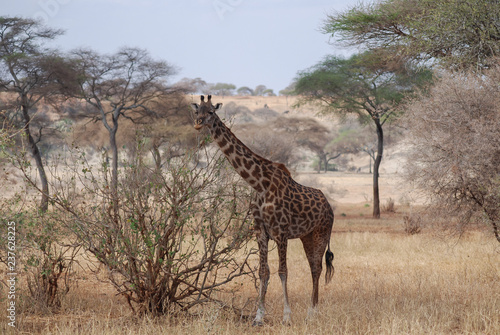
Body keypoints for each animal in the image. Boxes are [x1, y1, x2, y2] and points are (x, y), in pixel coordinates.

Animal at [192, 94, 336, 326]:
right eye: (197, 111)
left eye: (211, 112)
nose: (197, 123)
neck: (259, 183)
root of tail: (329, 206)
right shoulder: (260, 231)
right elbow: (263, 272)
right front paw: (258, 317)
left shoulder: (281, 232)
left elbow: (283, 271)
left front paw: (287, 316)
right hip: (306, 236)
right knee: (314, 267)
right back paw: (311, 311)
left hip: (321, 233)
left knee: (317, 267)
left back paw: (311, 312)